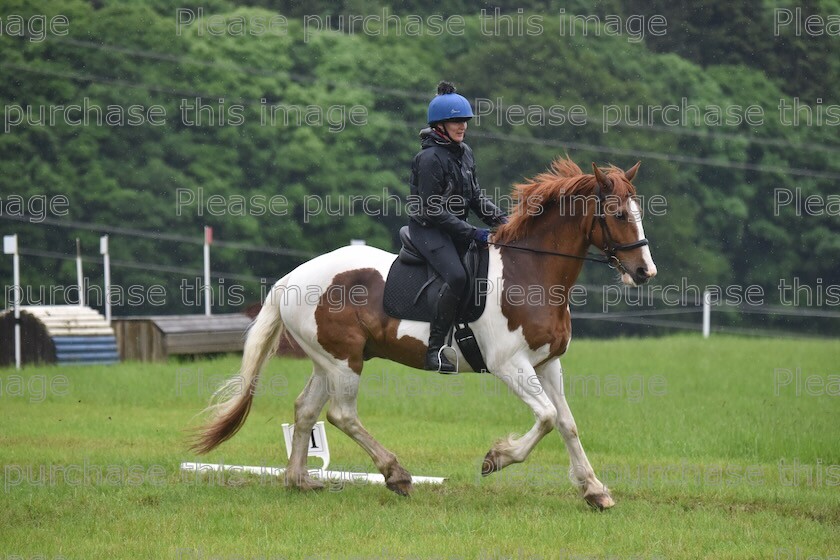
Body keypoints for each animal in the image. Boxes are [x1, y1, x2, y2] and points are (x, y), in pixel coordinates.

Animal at [190, 155, 656, 510]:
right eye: (617, 214)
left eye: (639, 213)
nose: (644, 272)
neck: (531, 272)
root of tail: (290, 279)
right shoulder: (511, 365)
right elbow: (545, 418)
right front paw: (496, 458)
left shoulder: (547, 364)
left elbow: (566, 422)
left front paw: (594, 491)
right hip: (344, 361)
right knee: (341, 414)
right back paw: (396, 475)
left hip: (328, 360)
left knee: (306, 410)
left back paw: (299, 480)